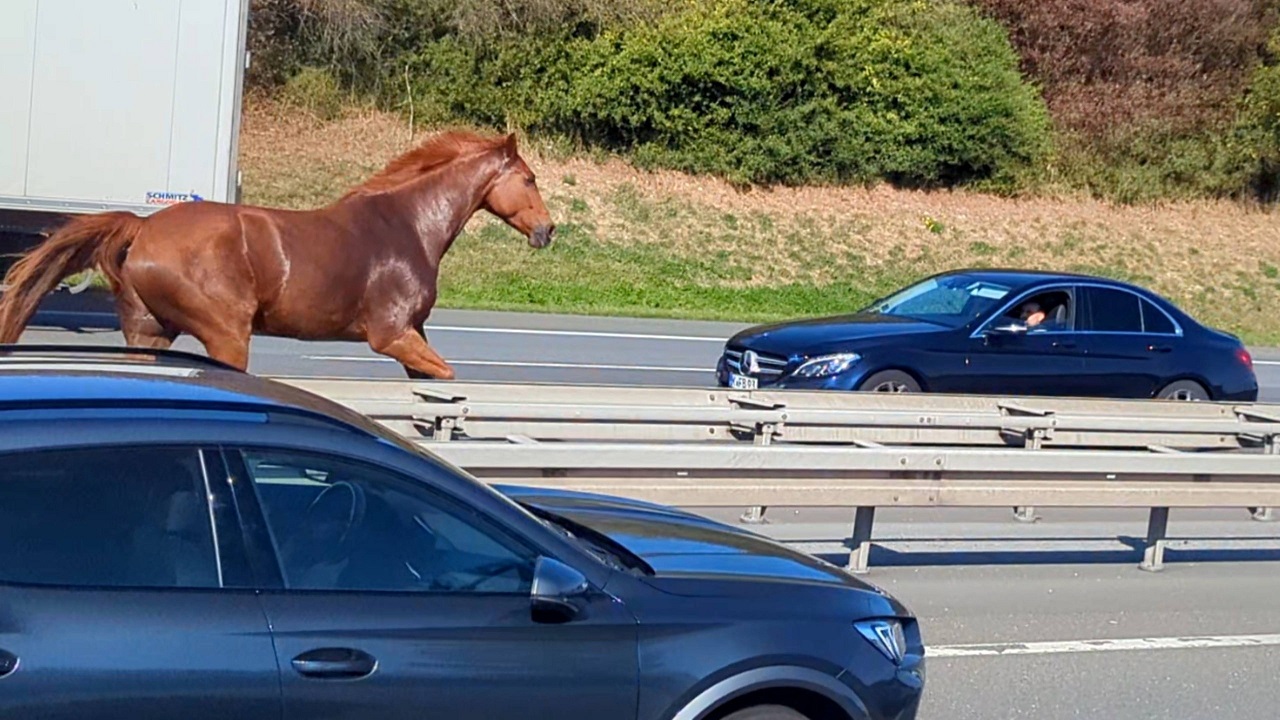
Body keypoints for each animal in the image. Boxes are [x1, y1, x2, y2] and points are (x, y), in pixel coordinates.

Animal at [0, 130, 555, 379]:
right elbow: (448, 377)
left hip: (149, 332)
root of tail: (144, 228)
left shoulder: (413, 335)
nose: (547, 230)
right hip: (226, 335)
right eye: (529, 179)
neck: (410, 227)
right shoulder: (392, 335)